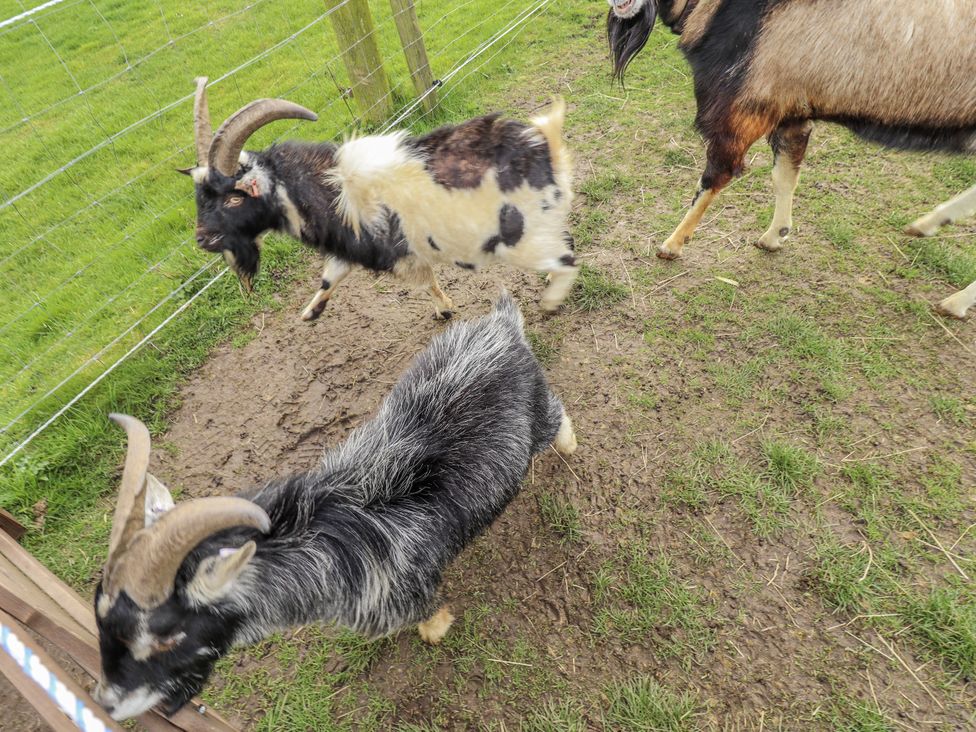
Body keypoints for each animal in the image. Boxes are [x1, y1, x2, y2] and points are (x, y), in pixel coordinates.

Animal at [92, 293, 578, 721]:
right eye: (101, 622)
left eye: (166, 636)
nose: (106, 704)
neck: (328, 534)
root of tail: (501, 324)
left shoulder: (400, 595)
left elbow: (427, 615)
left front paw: (435, 630)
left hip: (536, 413)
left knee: (557, 417)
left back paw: (570, 445)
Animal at [183, 77, 578, 321]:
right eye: (200, 198)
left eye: (233, 200)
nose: (202, 239)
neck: (319, 186)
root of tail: (545, 142)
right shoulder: (348, 242)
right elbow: (330, 276)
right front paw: (310, 313)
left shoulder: (395, 250)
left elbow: (426, 281)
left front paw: (445, 310)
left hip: (516, 236)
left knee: (567, 260)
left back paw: (550, 302)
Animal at [606, 0, 976, 318]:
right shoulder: (792, 113)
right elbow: (784, 176)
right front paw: (775, 236)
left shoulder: (743, 109)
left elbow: (713, 178)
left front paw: (672, 244)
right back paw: (927, 226)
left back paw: (954, 301)